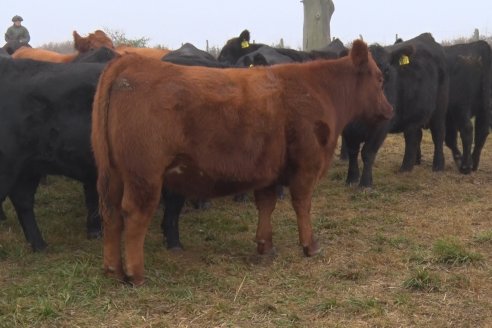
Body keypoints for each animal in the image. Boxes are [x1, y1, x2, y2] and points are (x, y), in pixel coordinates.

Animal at [91, 39, 392, 284]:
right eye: (379, 79)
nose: (389, 110)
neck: (318, 90)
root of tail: (130, 63)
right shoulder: (307, 166)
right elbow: (302, 205)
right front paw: (310, 245)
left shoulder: (270, 170)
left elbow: (266, 205)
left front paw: (265, 245)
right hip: (144, 176)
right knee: (134, 215)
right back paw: (135, 274)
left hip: (113, 174)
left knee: (111, 213)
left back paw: (112, 269)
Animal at [444, 40, 490, 173]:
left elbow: (450, 138)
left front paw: (459, 158)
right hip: (484, 108)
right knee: (482, 131)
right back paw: (474, 163)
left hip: (461, 106)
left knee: (467, 129)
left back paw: (466, 166)